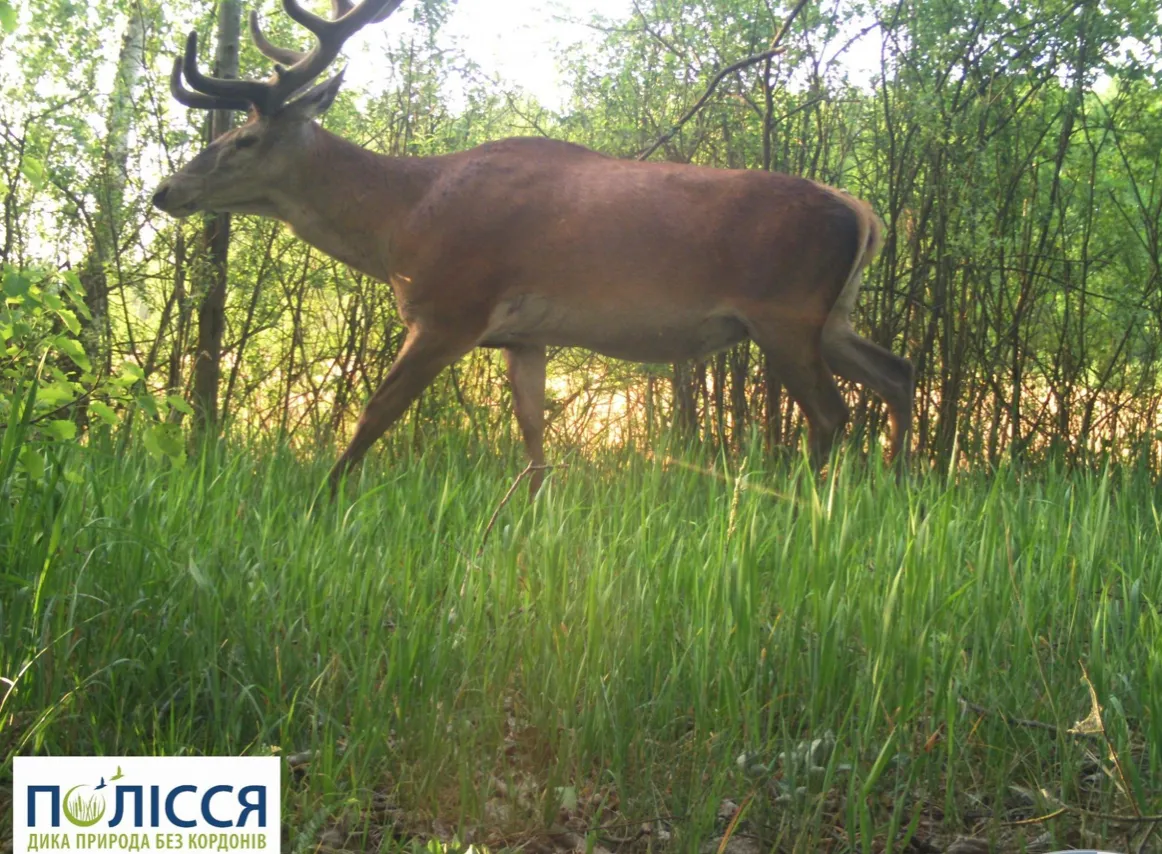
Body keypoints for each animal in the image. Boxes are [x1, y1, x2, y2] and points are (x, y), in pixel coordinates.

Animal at [149, 0, 911, 497]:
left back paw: (811, 506)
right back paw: (899, 487)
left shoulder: (450, 310)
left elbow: (375, 414)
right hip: (829, 318)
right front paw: (532, 520)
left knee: (832, 412)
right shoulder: (522, 336)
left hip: (783, 312)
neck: (402, 222)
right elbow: (534, 440)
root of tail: (861, 211)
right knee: (898, 373)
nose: (165, 190)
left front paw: (322, 500)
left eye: (244, 140)